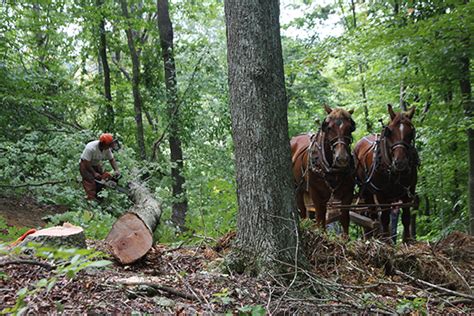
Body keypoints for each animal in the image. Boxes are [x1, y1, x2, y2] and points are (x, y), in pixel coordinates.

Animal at [290, 105, 354, 236]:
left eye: (350, 128)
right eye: (329, 128)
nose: (342, 158)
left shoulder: (348, 194)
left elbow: (345, 220)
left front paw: (345, 239)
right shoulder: (317, 194)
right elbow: (320, 220)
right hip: (297, 188)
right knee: (302, 211)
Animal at [354, 103, 416, 242]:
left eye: (411, 133)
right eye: (390, 132)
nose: (400, 162)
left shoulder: (409, 191)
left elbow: (406, 217)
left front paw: (407, 241)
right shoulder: (381, 194)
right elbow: (385, 218)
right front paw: (386, 240)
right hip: (366, 190)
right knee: (371, 214)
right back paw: (372, 236)